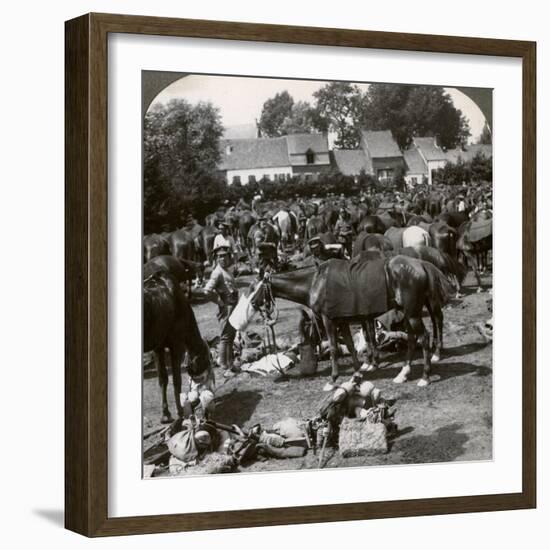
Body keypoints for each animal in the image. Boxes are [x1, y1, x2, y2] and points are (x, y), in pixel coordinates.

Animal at [143, 270, 212, 422]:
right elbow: (176, 380)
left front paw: (165, 414)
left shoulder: (158, 347)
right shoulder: (177, 345)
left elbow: (163, 379)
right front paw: (180, 410)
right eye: (207, 358)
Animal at [252, 256, 454, 390]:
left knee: (425, 336)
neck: (316, 282)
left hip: (413, 313)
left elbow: (334, 349)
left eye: (256, 287)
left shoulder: (329, 320)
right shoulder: (342, 321)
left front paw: (332, 380)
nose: (253, 303)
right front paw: (356, 375)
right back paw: (403, 374)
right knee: (413, 338)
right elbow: (350, 345)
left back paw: (425, 376)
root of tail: (421, 264)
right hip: (409, 313)